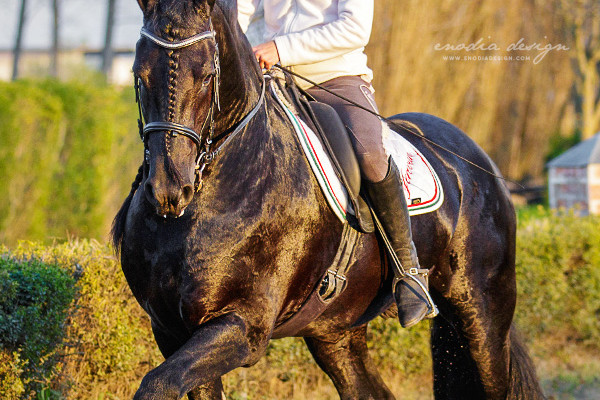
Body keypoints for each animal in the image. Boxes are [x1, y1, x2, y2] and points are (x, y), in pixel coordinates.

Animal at [111, 1, 544, 398]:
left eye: (206, 77)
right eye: (139, 75)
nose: (168, 190)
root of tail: (477, 162)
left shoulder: (242, 324)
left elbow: (156, 384)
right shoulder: (172, 330)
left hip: (481, 315)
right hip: (336, 332)